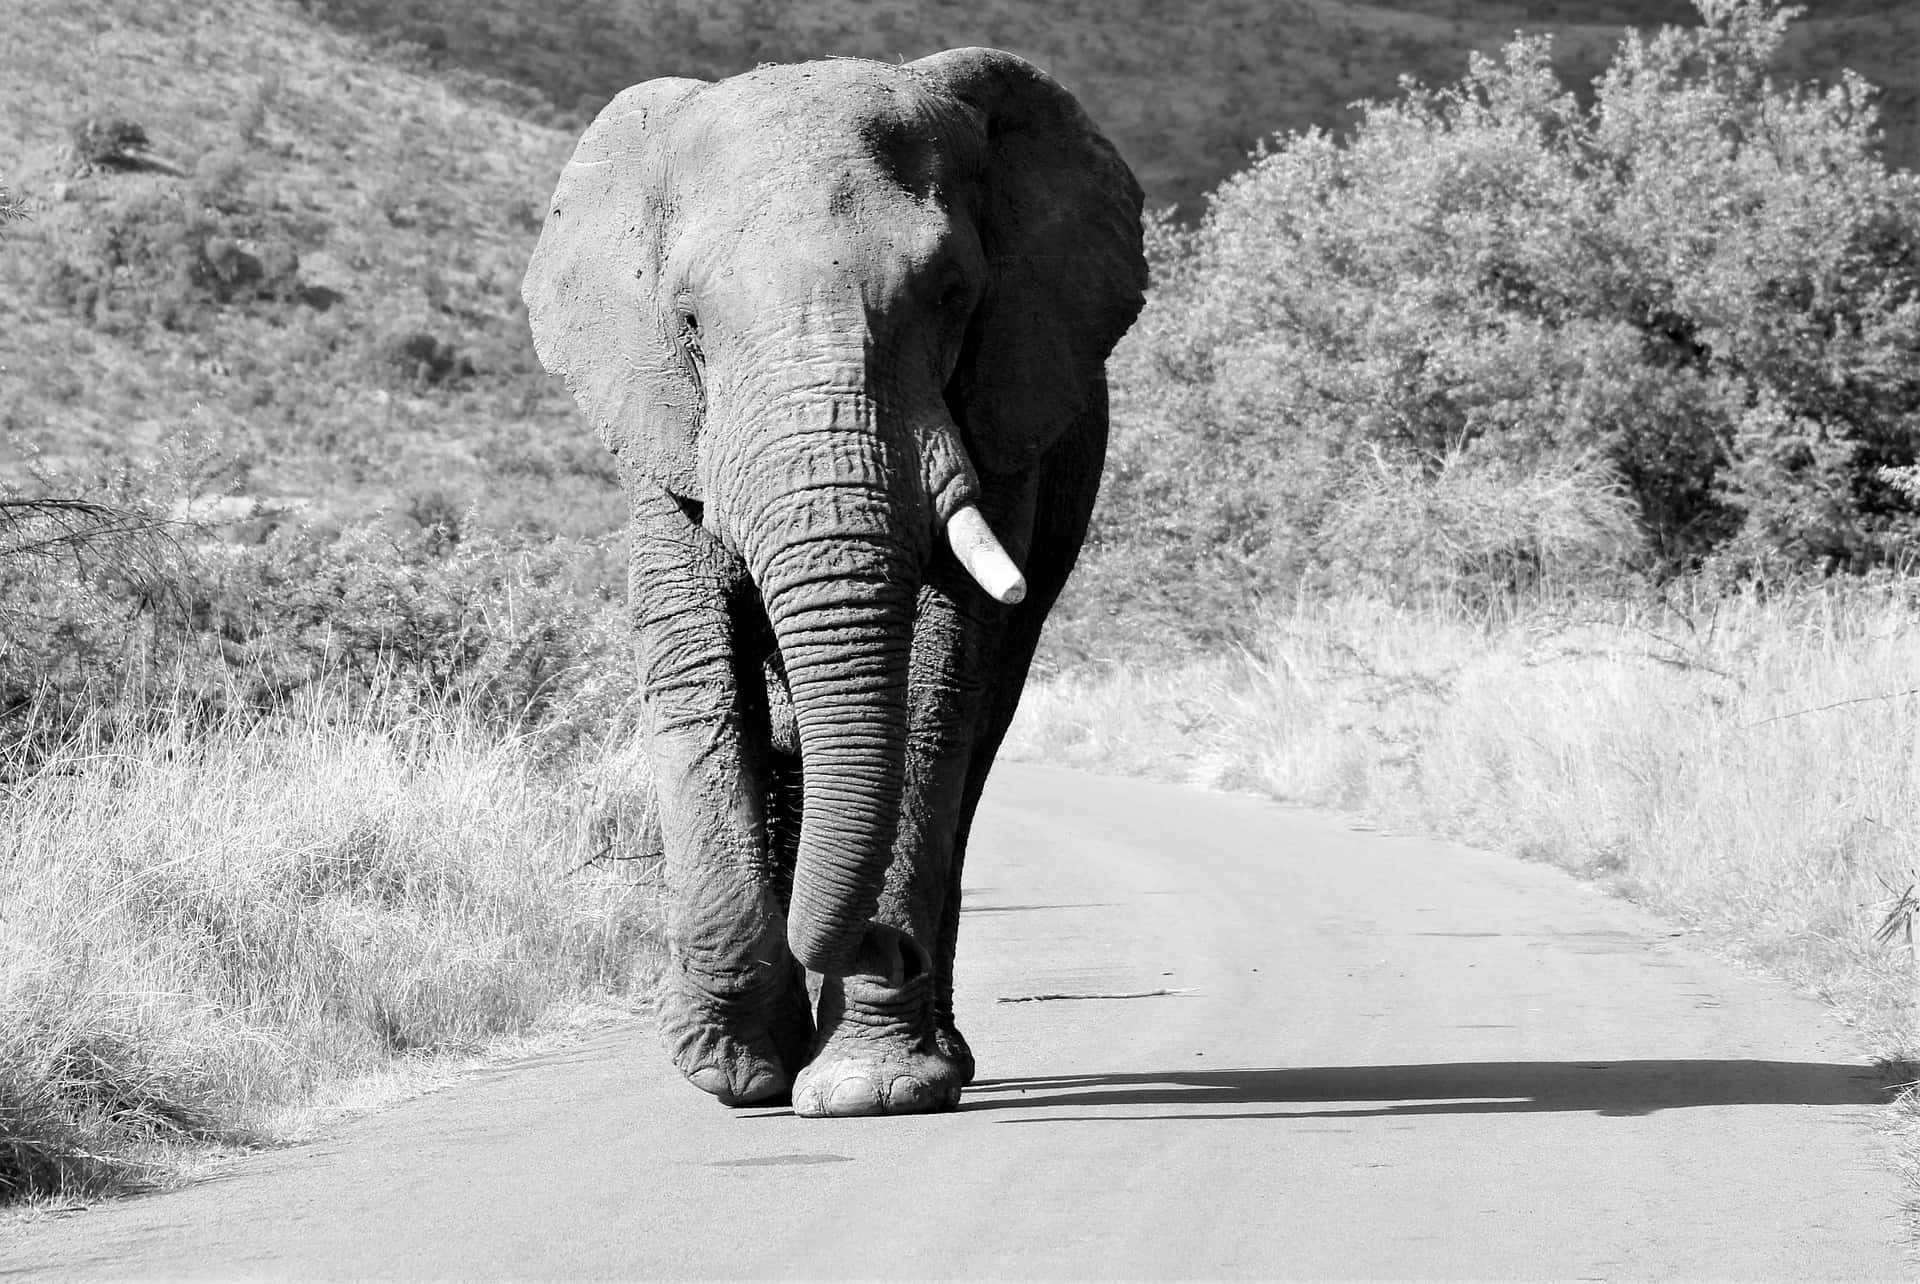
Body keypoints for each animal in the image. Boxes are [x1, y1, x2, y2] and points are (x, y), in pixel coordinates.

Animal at [522, 48, 1145, 1117]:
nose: (881, 951)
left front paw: (869, 1086)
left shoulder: (1004, 406)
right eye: (688, 319)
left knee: (973, 745)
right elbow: (699, 671)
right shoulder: (664, 429)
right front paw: (729, 1073)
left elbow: (939, 681)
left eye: (951, 295)